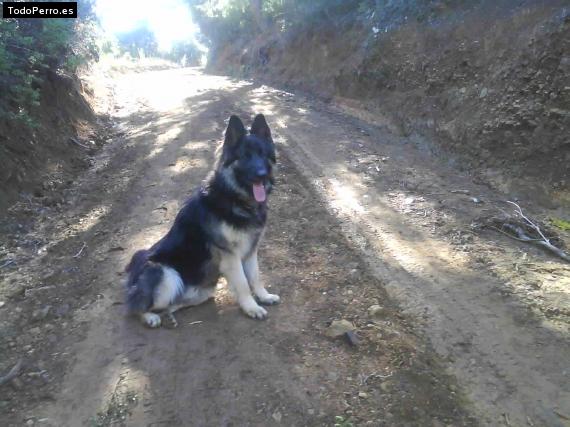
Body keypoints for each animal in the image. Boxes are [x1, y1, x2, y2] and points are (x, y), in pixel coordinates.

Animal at [127, 113, 282, 328]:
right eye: (244, 156)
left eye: (262, 154)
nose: (262, 175)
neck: (234, 198)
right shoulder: (230, 256)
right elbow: (243, 283)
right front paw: (252, 307)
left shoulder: (251, 251)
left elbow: (255, 276)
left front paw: (264, 296)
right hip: (168, 275)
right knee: (136, 307)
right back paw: (150, 317)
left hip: (203, 291)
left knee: (174, 303)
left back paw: (169, 315)